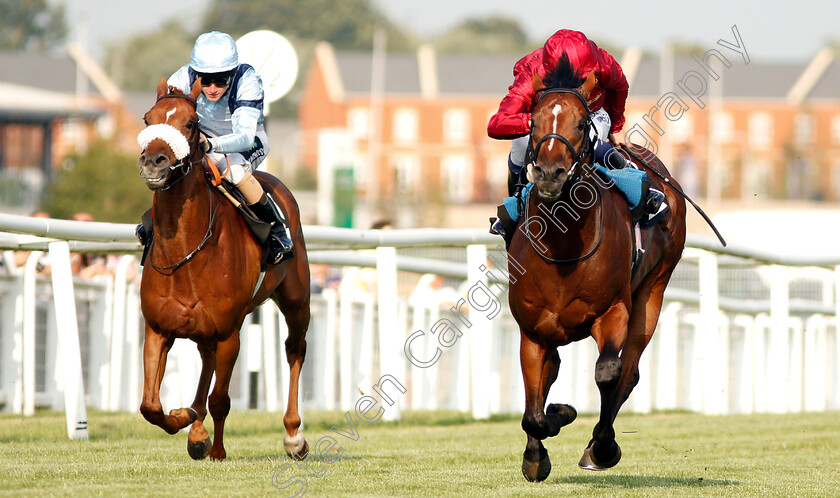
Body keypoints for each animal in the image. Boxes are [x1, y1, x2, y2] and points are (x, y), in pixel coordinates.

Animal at [138, 79, 312, 462]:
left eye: (191, 123)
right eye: (147, 119)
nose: (154, 161)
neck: (186, 252)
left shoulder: (229, 332)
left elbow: (221, 399)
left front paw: (214, 447)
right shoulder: (158, 329)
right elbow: (150, 406)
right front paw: (188, 421)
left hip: (296, 299)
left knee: (295, 348)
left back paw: (294, 435)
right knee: (206, 359)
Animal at [508, 60, 684, 480]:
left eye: (581, 121)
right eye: (533, 120)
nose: (550, 174)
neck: (563, 244)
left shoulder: (613, 312)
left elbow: (608, 372)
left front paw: (600, 445)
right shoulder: (532, 329)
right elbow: (535, 405)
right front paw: (539, 449)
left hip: (653, 291)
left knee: (628, 370)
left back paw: (596, 447)